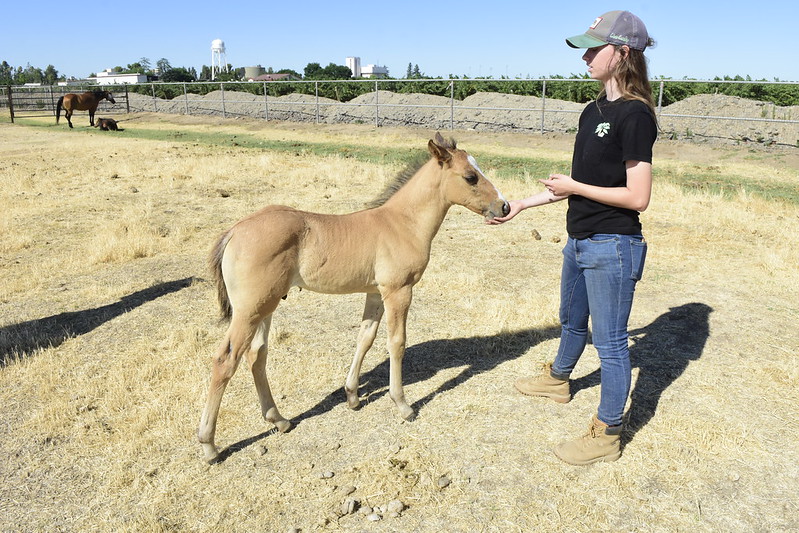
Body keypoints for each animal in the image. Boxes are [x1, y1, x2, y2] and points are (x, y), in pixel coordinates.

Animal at [198, 133, 510, 463]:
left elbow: (365, 338)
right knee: (225, 360)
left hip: (265, 307)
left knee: (257, 355)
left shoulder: (374, 292)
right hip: (249, 310)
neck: (403, 224)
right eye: (470, 176)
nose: (503, 206)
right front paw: (402, 405)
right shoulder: (398, 291)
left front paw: (352, 396)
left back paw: (279, 420)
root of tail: (233, 232)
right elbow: (396, 343)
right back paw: (209, 445)